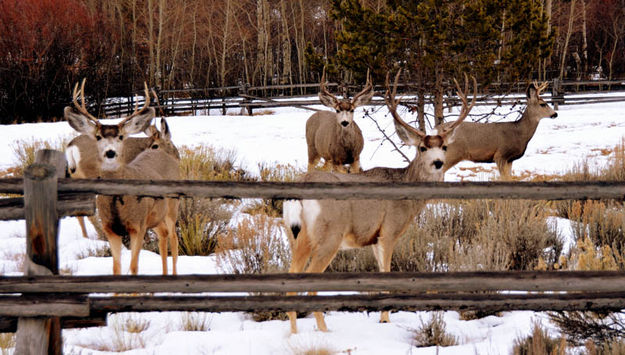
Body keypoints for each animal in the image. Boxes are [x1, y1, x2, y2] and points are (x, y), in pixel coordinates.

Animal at [282, 71, 478, 334]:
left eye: (445, 146)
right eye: (422, 147)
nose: (438, 163)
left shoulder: (373, 238)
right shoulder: (389, 230)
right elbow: (386, 273)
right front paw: (385, 319)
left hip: (296, 235)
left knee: (290, 281)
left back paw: (294, 334)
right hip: (329, 234)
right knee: (310, 284)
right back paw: (324, 331)